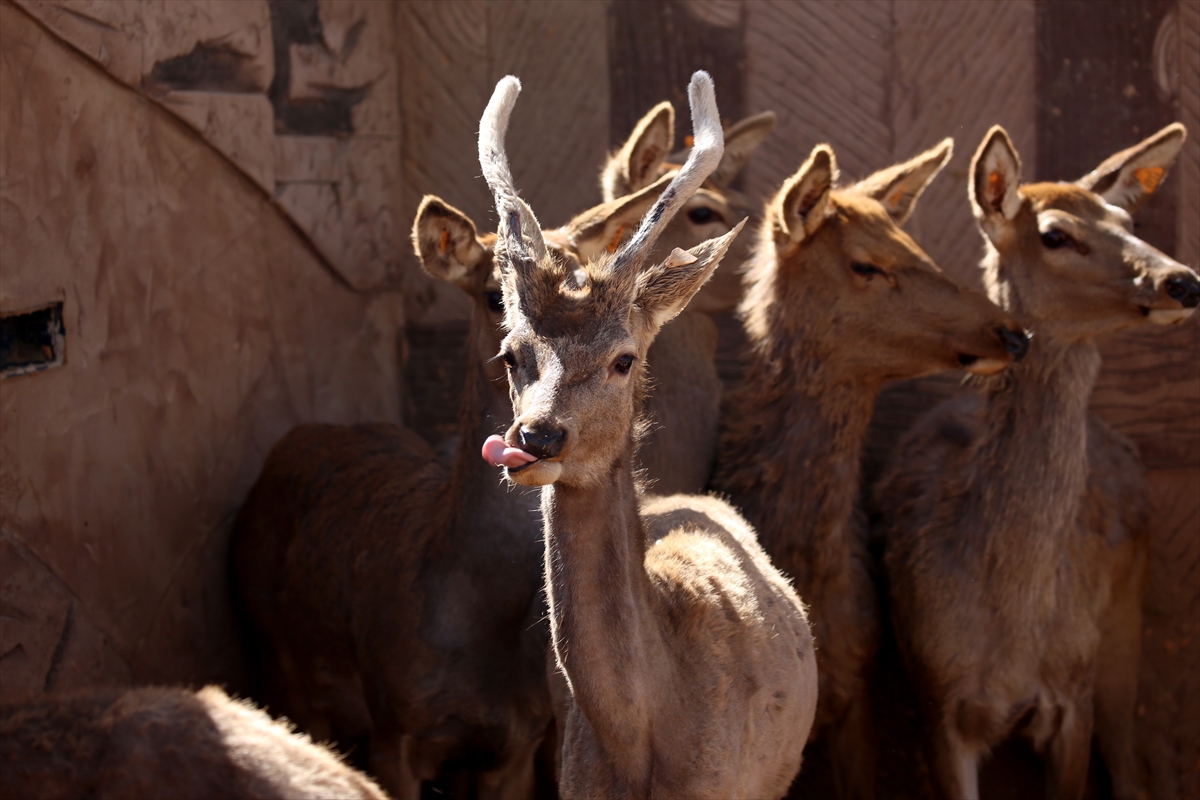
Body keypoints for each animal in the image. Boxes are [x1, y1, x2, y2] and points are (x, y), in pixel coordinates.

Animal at [873, 123, 1200, 800]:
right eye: (1054, 234)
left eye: (1127, 219)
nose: (1183, 281)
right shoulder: (935, 694)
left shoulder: (1073, 693)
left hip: (1122, 631)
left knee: (1133, 773)